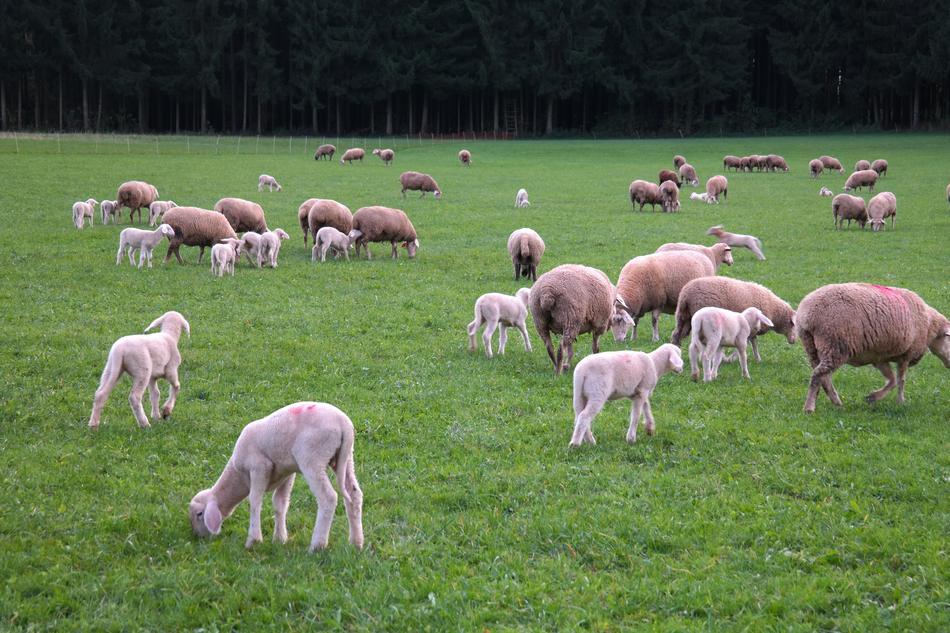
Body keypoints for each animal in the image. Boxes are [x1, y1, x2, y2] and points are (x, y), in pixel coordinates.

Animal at [188, 402, 363, 552]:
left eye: (199, 514)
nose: (197, 536)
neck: (238, 476)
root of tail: (343, 424)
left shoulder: (259, 467)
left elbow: (254, 501)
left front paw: (253, 540)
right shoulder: (286, 472)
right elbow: (280, 503)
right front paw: (280, 538)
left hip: (312, 458)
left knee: (328, 497)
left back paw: (317, 546)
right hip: (346, 457)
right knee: (354, 494)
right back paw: (356, 542)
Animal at [796, 283, 950, 413]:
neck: (930, 326)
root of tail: (806, 314)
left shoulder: (880, 358)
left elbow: (892, 380)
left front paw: (872, 397)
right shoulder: (906, 355)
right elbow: (901, 381)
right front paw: (901, 402)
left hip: (813, 347)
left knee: (824, 377)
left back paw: (836, 402)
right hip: (835, 344)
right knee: (818, 375)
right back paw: (809, 408)